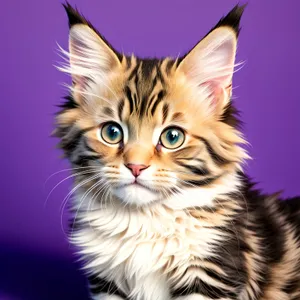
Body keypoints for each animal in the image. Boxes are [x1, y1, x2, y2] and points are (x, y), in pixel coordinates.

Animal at [55, 2, 300, 300]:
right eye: (112, 133)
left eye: (172, 137)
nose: (136, 166)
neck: (143, 223)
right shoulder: (107, 283)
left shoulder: (212, 273)